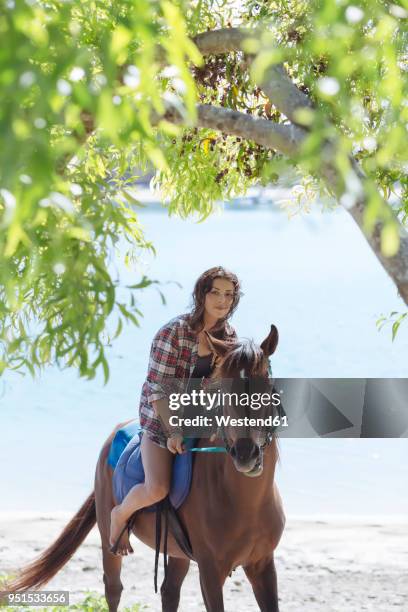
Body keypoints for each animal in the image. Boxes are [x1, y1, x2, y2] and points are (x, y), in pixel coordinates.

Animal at [1, 328, 286, 612]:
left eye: (267, 388)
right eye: (223, 393)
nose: (246, 454)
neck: (244, 503)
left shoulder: (262, 565)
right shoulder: (210, 572)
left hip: (177, 551)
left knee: (169, 591)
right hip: (109, 541)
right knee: (113, 589)